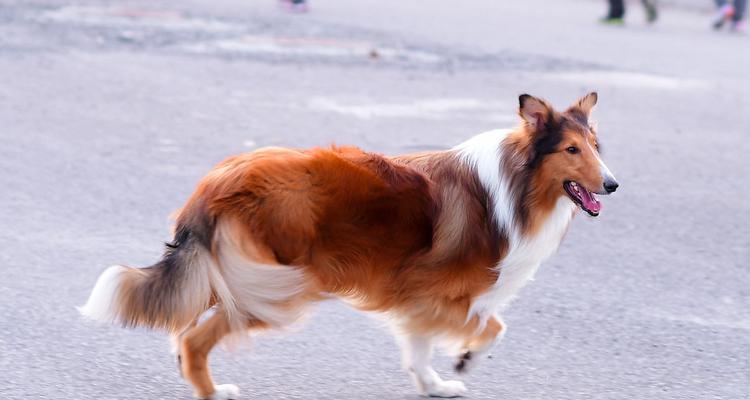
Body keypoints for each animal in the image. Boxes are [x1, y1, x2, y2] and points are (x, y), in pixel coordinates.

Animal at [82, 92, 620, 398]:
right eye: (571, 150)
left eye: (596, 146)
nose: (613, 185)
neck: (516, 186)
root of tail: (214, 185)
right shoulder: (434, 294)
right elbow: (491, 326)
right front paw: (465, 357)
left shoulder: (419, 302)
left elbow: (419, 348)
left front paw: (434, 385)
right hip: (279, 285)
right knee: (194, 337)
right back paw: (214, 392)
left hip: (237, 276)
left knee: (184, 327)